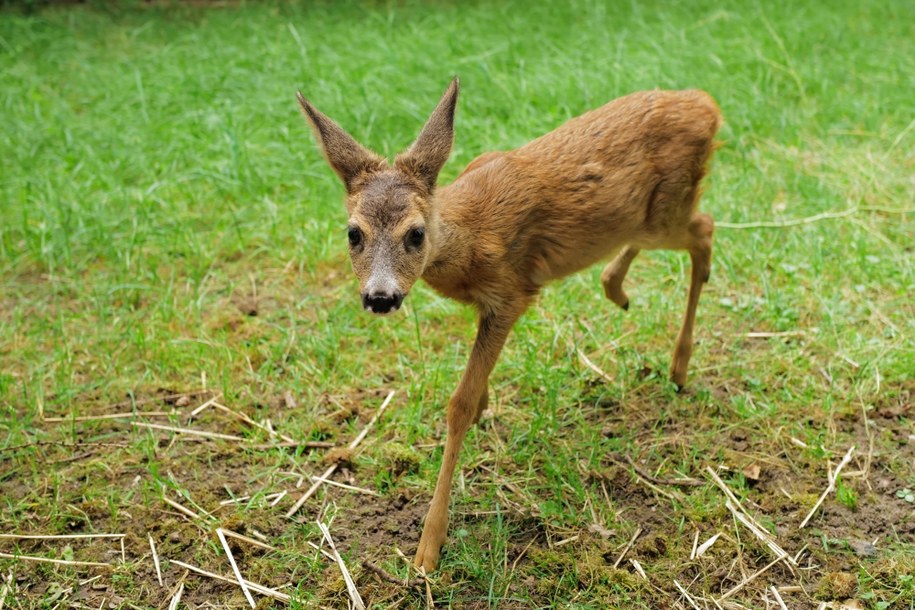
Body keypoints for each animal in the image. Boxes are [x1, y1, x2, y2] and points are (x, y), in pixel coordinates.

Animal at [296, 79, 720, 568]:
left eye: (416, 234)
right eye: (353, 233)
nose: (380, 297)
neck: (470, 241)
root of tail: (707, 106)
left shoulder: (510, 294)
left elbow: (458, 405)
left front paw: (428, 548)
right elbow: (474, 386)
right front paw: (485, 402)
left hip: (665, 211)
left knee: (705, 228)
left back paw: (679, 365)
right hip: (647, 217)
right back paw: (617, 289)